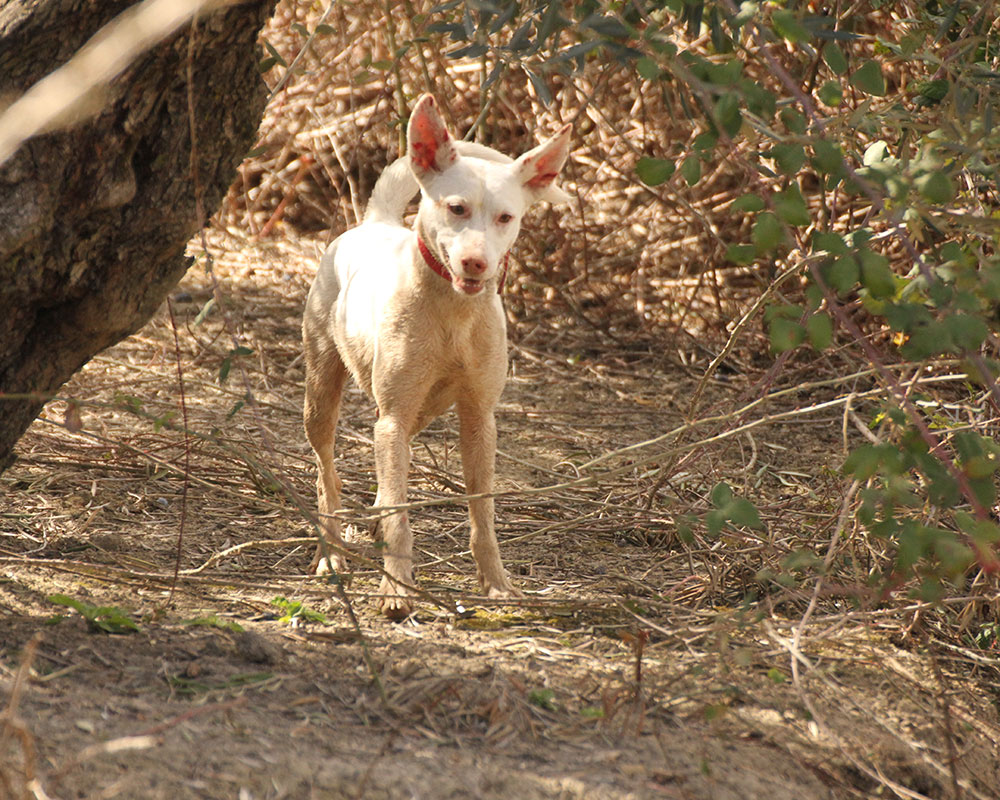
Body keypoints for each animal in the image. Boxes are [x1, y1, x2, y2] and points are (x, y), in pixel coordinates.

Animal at [302, 94, 572, 620]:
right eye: (457, 208)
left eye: (506, 218)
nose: (476, 263)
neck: (454, 312)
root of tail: (376, 222)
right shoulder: (392, 418)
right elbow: (400, 514)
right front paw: (396, 589)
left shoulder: (479, 420)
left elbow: (482, 514)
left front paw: (497, 585)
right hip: (322, 396)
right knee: (327, 475)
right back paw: (331, 554)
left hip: (420, 412)